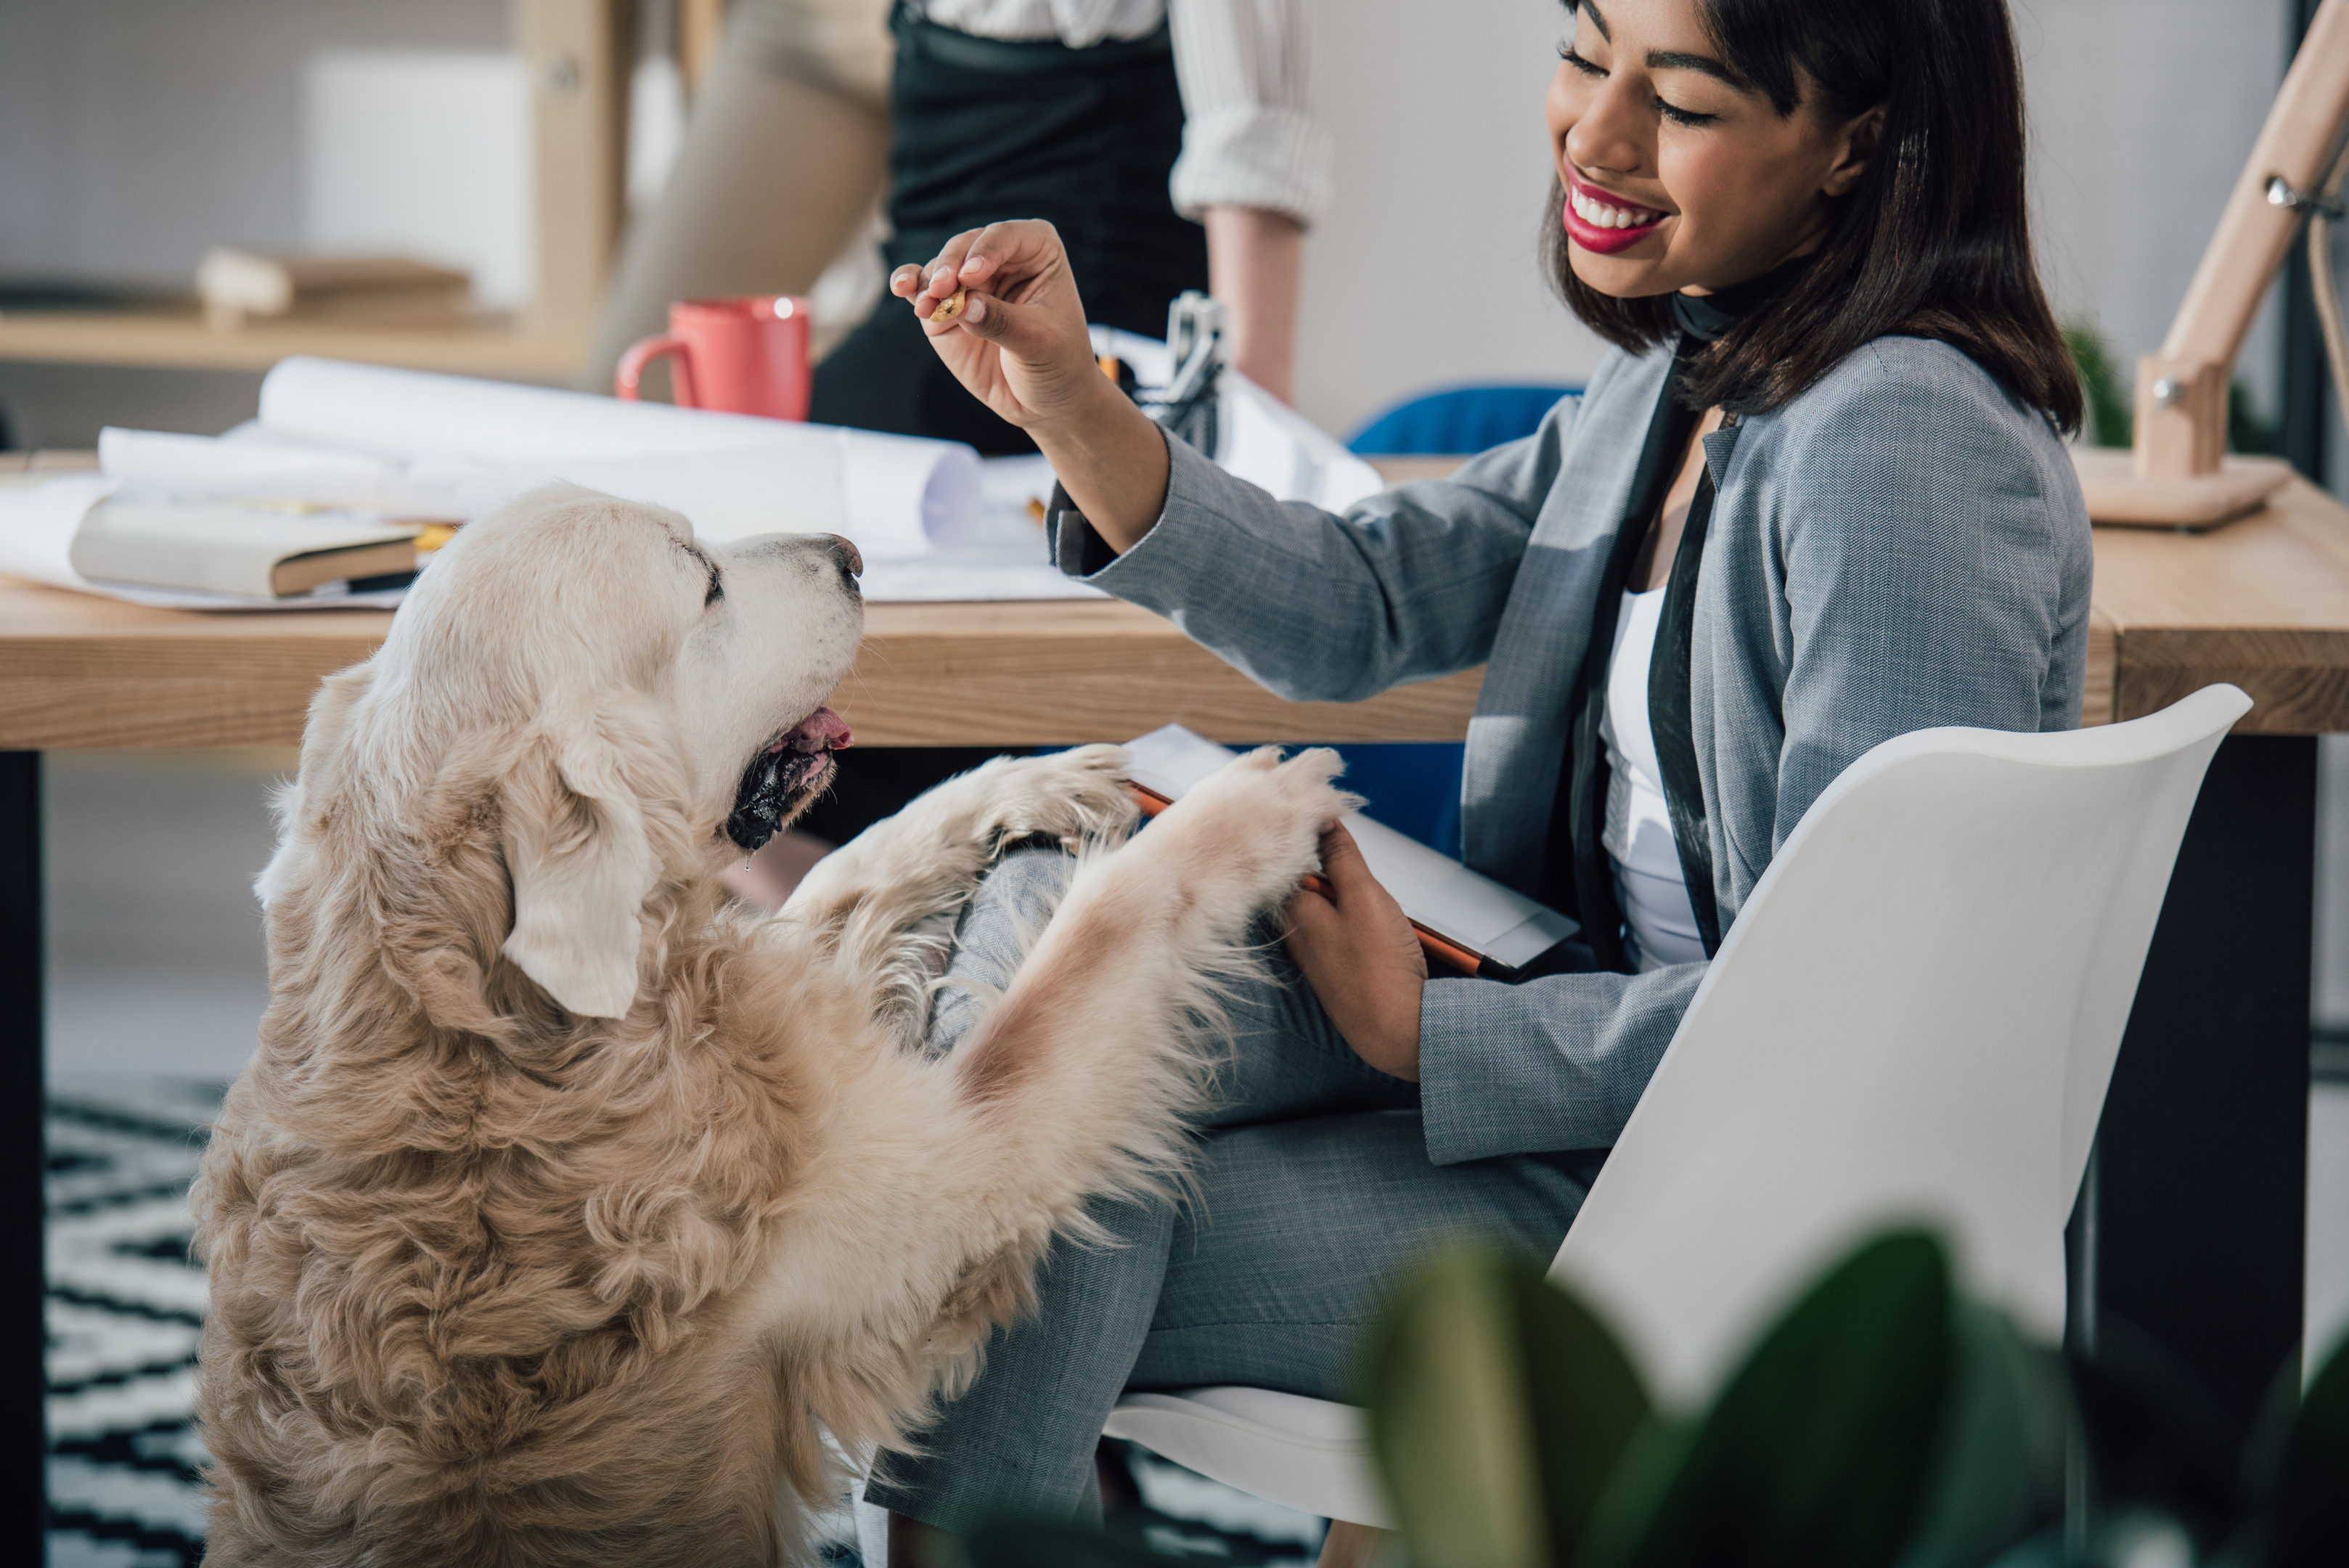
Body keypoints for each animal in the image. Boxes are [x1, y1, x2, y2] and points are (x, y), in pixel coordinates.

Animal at [192, 484, 1352, 1561]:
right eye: (703, 580)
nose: (850, 551)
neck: (490, 1024)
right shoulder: (952, 1176)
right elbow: (1101, 930)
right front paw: (1250, 811)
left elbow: (855, 860)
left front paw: (1032, 774)